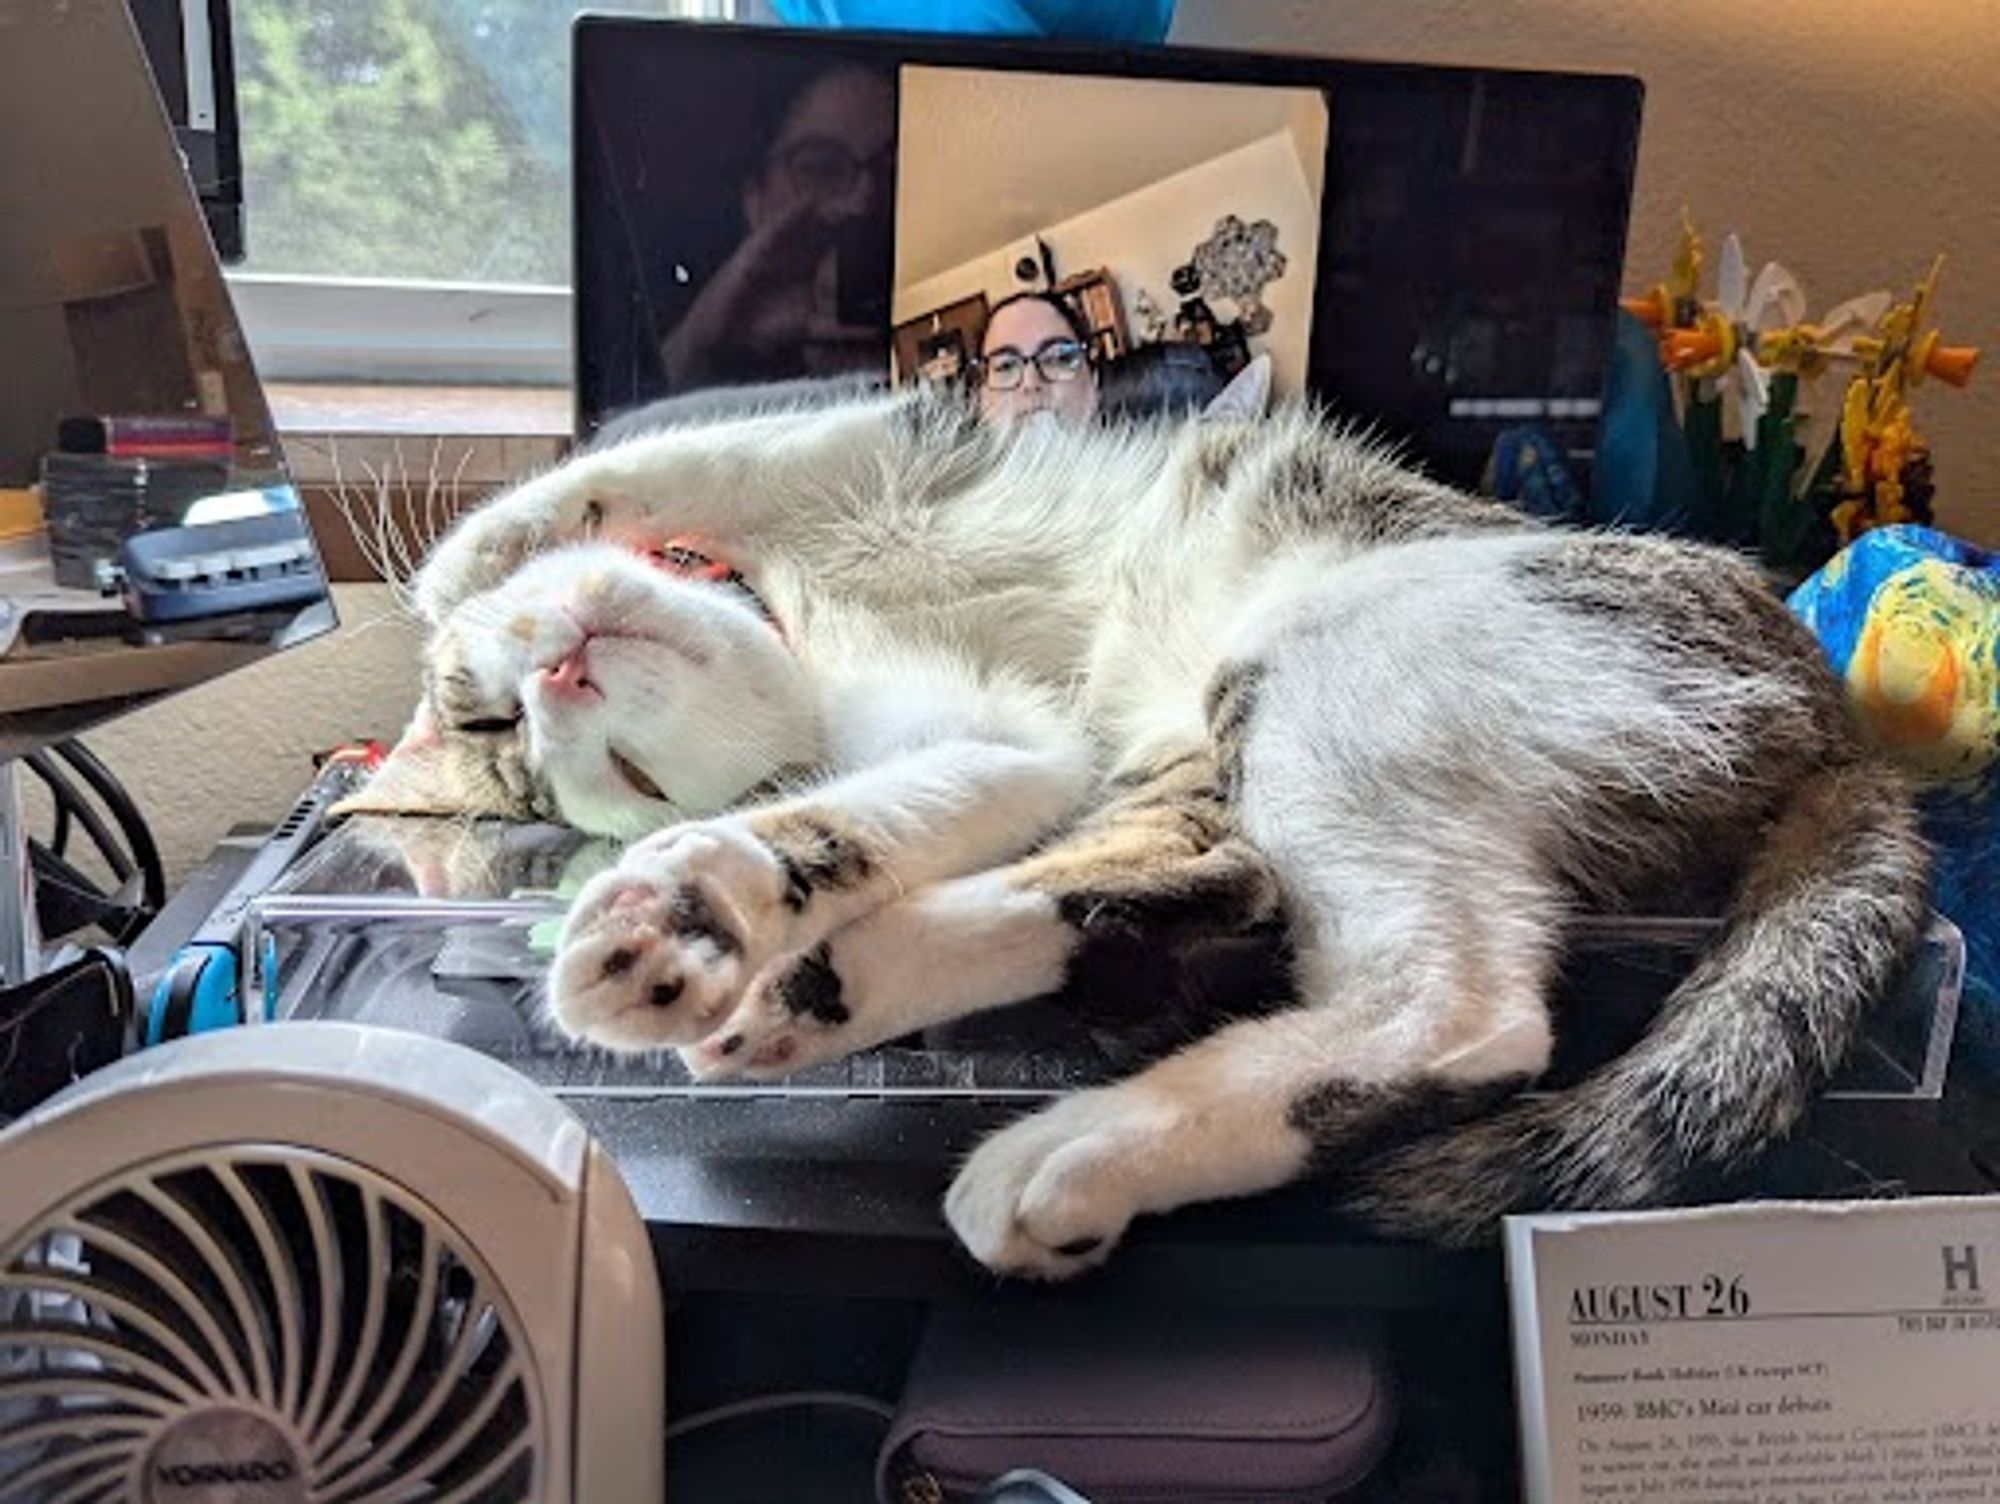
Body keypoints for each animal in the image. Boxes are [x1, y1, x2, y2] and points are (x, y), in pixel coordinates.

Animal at [352, 388, 1928, 1280]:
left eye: (508, 723)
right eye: (607, 773)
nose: (553, 680)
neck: (805, 617)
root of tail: (1843, 726)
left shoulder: (891, 442)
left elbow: (654, 465)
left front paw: (471, 572)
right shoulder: (1011, 743)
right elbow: (867, 817)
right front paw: (701, 901)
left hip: (1331, 652)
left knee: (1446, 1002)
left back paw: (1062, 1137)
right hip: (1248, 727)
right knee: (1281, 918)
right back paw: (828, 1004)